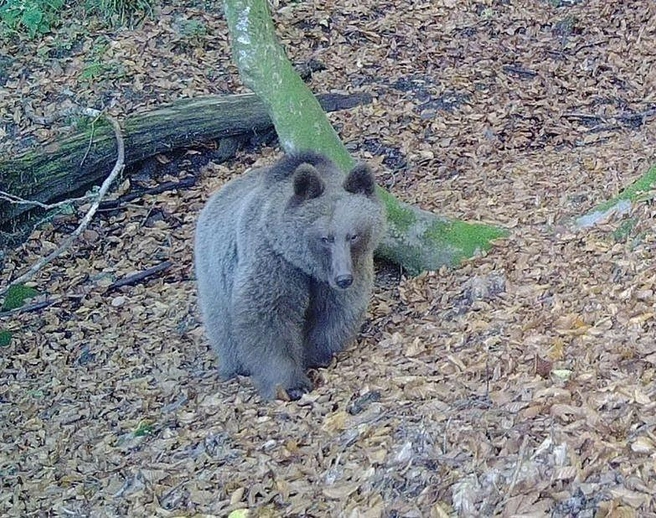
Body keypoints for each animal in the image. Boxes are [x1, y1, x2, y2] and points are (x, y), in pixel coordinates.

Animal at [194, 151, 385, 400]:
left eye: (353, 235)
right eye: (325, 238)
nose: (343, 278)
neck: (307, 266)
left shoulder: (345, 272)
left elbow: (335, 312)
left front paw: (316, 356)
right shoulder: (275, 261)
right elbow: (269, 317)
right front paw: (291, 385)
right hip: (215, 274)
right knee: (223, 325)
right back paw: (234, 366)